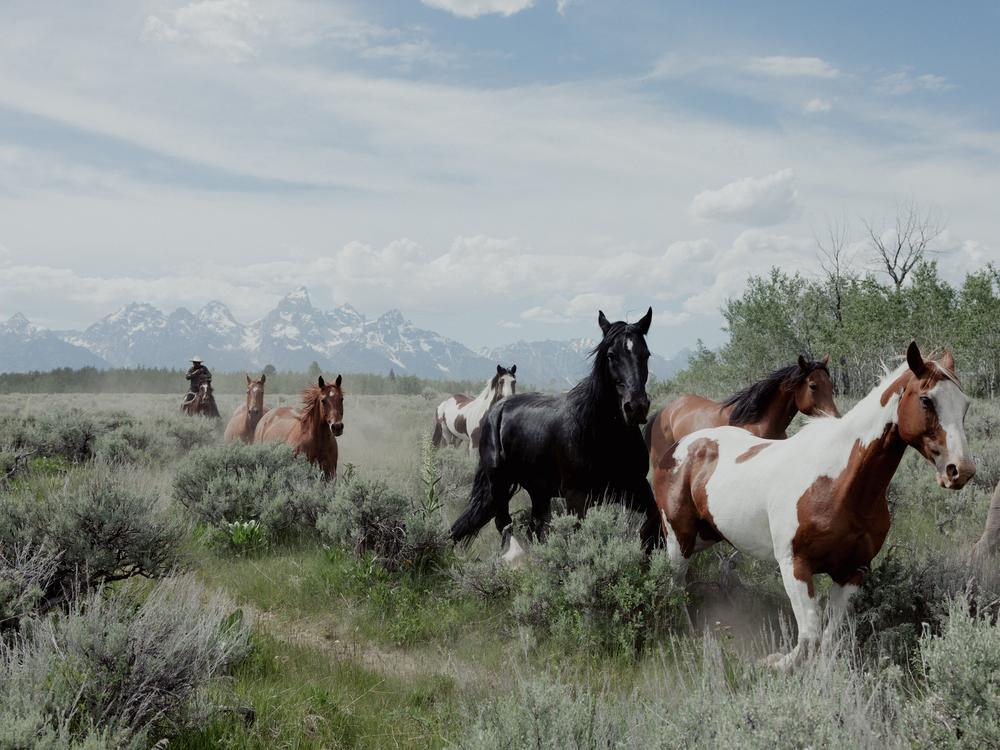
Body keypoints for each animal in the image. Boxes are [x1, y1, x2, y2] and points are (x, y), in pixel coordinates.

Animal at [456, 308, 664, 556]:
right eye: (611, 355)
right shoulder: (577, 497)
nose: (636, 407)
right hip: (499, 484)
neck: (600, 433)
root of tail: (498, 408)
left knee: (535, 527)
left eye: (646, 354)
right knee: (505, 525)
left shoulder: (636, 487)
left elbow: (654, 522)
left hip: (538, 490)